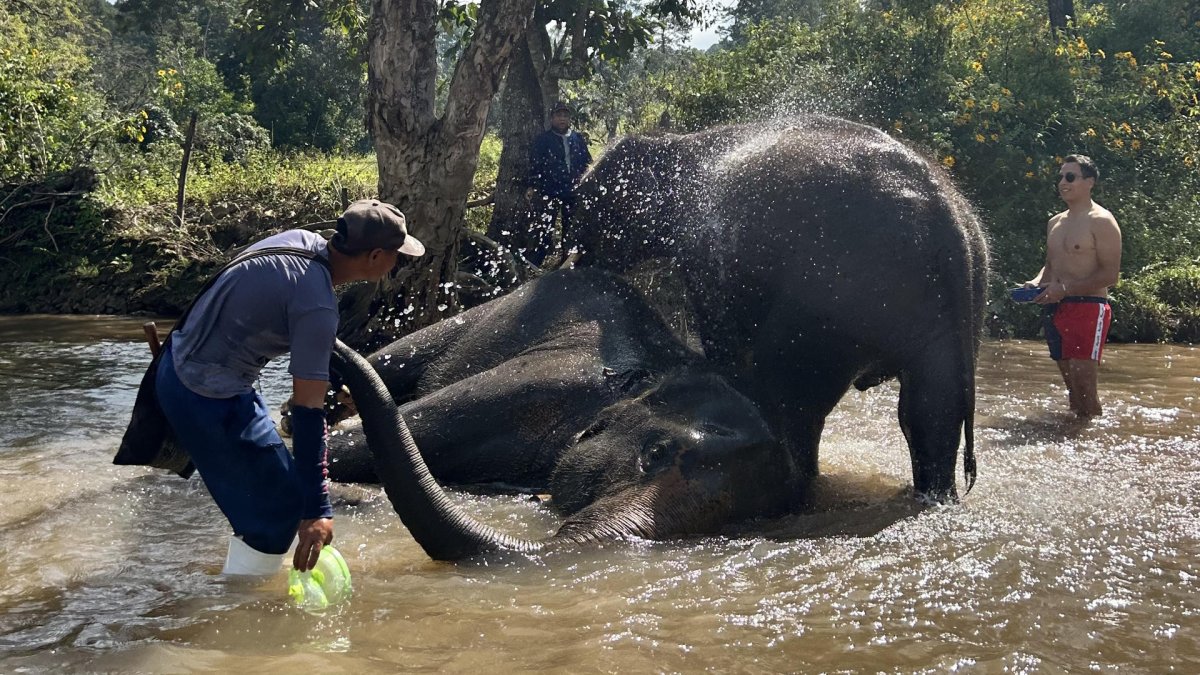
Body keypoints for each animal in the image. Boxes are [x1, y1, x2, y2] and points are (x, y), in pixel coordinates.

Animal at [565, 116, 990, 501]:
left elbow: (721, 335)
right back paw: (934, 496)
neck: (678, 141)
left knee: (796, 400)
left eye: (589, 203)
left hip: (829, 297)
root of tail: (947, 226)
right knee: (929, 412)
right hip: (948, 314)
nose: (573, 262)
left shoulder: (710, 250)